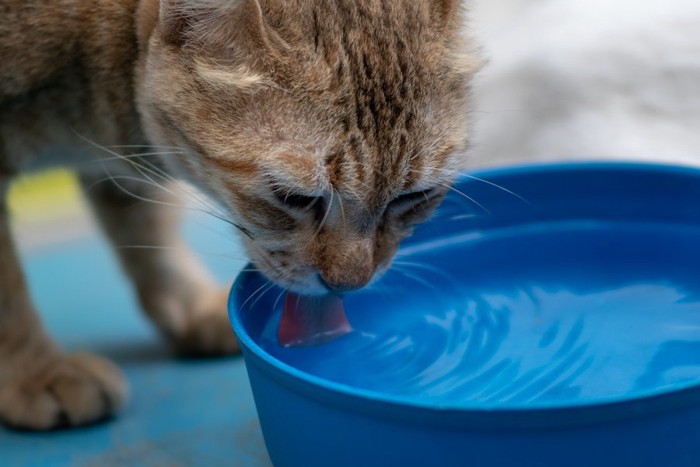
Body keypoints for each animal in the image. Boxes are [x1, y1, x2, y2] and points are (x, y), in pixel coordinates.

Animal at [0, 0, 482, 432]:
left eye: (414, 196)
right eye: (294, 198)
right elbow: (10, 290)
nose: (349, 284)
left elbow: (146, 228)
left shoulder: (125, 169)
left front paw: (189, 303)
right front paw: (37, 371)